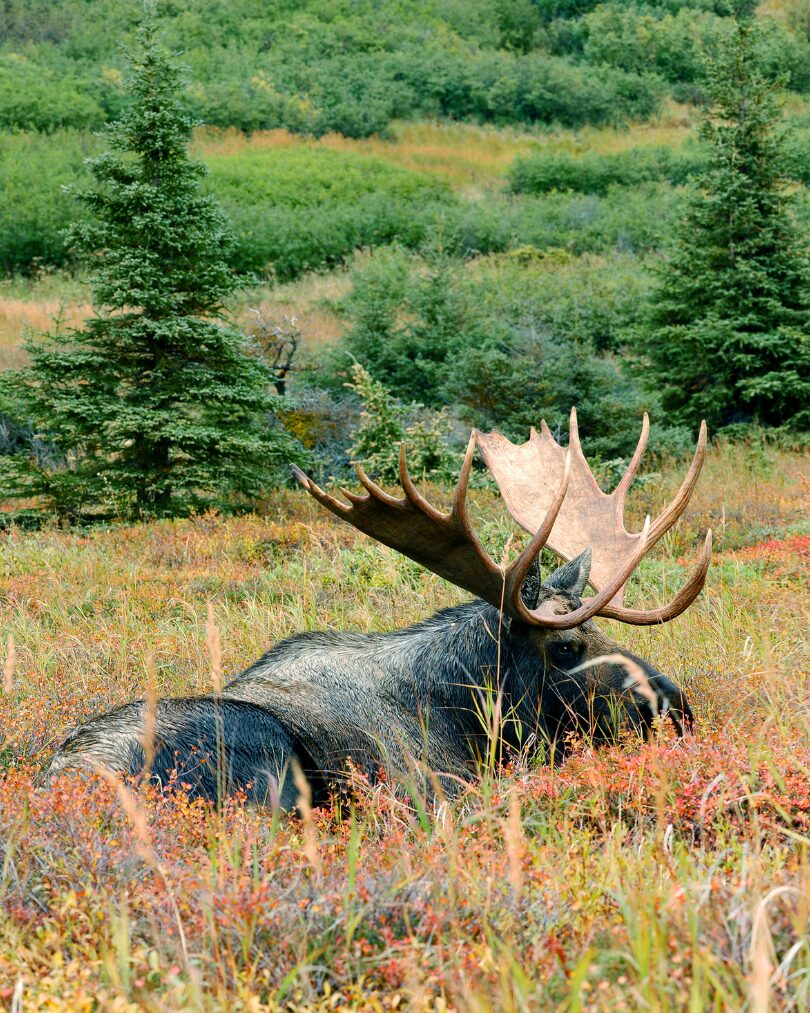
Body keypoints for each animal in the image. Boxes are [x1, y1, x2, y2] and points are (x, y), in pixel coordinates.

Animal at [47, 410, 712, 808]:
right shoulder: (437, 783)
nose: (675, 703)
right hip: (264, 759)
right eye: (566, 646)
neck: (466, 711)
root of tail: (67, 795)